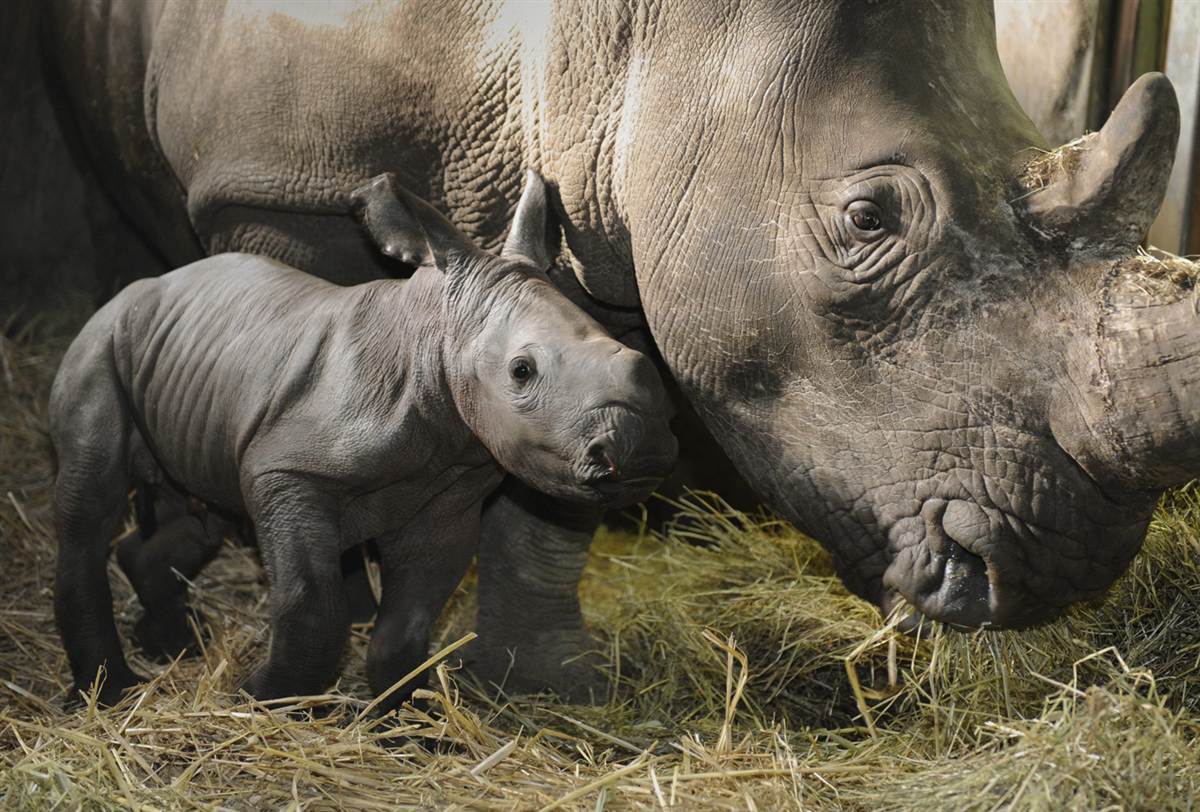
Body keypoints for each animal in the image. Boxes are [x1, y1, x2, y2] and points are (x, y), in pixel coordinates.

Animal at [51, 173, 676, 705]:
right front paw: (260, 701)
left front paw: (406, 723)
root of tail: (140, 289)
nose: (640, 450)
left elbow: (411, 619)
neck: (431, 342)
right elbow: (310, 603)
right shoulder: (287, 473)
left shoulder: (447, 495)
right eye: (521, 372)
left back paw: (173, 646)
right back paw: (112, 693)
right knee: (92, 506)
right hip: (101, 342)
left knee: (201, 514)